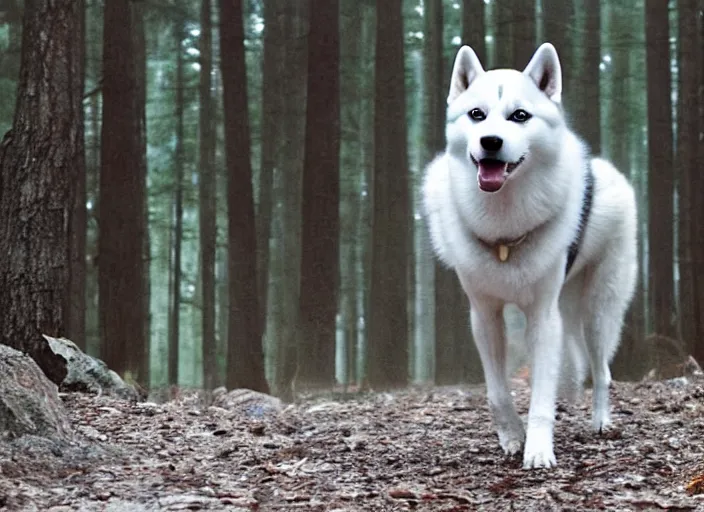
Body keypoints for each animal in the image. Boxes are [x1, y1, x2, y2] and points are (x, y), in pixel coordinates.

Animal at [424, 44, 640, 468]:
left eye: (520, 116)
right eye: (476, 114)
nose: (490, 142)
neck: (504, 228)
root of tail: (609, 172)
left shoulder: (543, 317)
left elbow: (541, 396)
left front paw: (538, 451)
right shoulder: (485, 317)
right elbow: (496, 392)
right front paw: (511, 437)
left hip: (597, 312)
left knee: (602, 371)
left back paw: (601, 422)